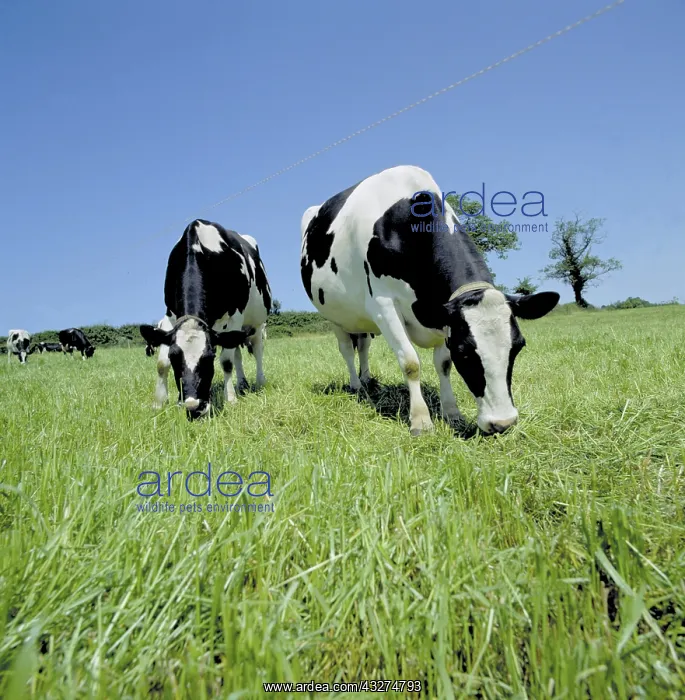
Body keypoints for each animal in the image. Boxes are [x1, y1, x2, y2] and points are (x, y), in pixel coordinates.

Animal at [139, 219, 272, 420]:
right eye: (174, 357)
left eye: (209, 359)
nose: (194, 407)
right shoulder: (170, 317)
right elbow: (161, 364)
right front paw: (159, 403)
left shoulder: (235, 317)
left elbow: (226, 362)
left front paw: (230, 400)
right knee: (238, 354)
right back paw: (242, 385)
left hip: (257, 323)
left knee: (257, 350)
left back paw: (259, 382)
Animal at [300, 165, 559, 436]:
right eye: (464, 352)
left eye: (518, 346)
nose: (503, 423)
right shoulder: (383, 306)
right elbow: (410, 362)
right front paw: (421, 422)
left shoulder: (445, 316)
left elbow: (443, 364)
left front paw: (452, 414)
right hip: (335, 317)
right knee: (347, 350)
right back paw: (356, 386)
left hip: (359, 318)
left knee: (363, 346)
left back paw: (367, 380)